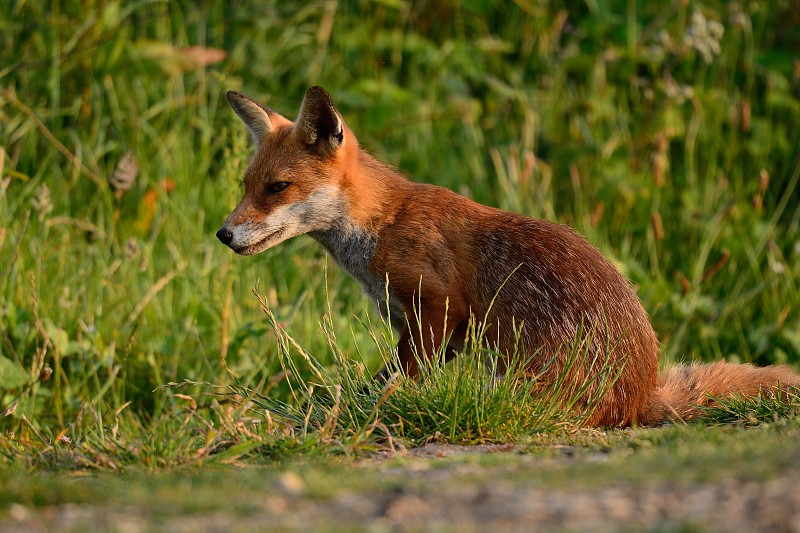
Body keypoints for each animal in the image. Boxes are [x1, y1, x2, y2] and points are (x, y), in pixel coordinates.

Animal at [216, 86, 796, 428]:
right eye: (245, 184)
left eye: (277, 187)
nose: (224, 233)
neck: (383, 224)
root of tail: (641, 394)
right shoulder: (434, 328)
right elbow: (388, 378)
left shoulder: (439, 306)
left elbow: (396, 381)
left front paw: (365, 418)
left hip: (516, 378)